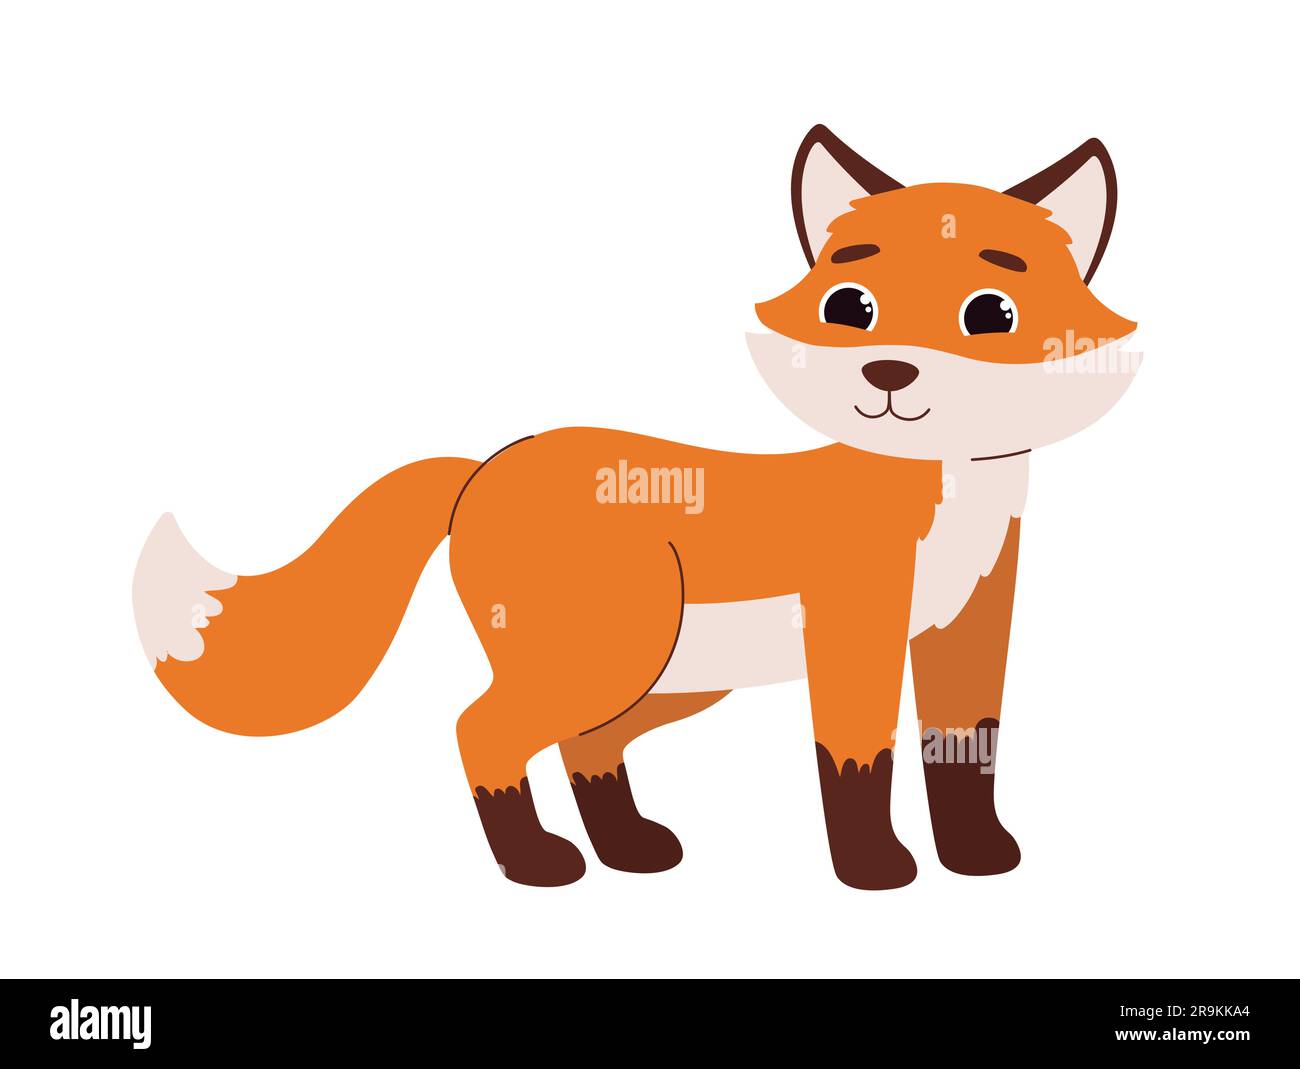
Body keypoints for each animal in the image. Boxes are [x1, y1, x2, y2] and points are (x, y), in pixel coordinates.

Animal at [132, 126, 1139, 888]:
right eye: (850, 306)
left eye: (991, 313)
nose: (887, 374)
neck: (952, 499)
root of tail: (483, 465)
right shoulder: (856, 628)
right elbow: (856, 761)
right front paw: (874, 870)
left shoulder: (968, 629)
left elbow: (964, 751)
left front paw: (977, 858)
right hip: (614, 652)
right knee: (481, 730)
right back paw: (538, 862)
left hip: (662, 672)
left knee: (585, 748)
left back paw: (626, 850)